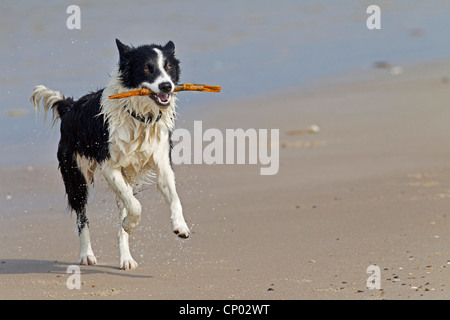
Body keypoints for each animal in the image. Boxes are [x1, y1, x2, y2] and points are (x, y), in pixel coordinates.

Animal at [31, 40, 190, 270]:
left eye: (168, 67)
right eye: (147, 68)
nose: (166, 86)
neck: (139, 115)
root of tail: (70, 108)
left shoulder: (161, 162)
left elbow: (173, 197)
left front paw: (181, 226)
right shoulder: (110, 167)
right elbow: (136, 206)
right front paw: (131, 225)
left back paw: (126, 259)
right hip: (75, 174)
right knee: (82, 217)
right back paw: (87, 255)